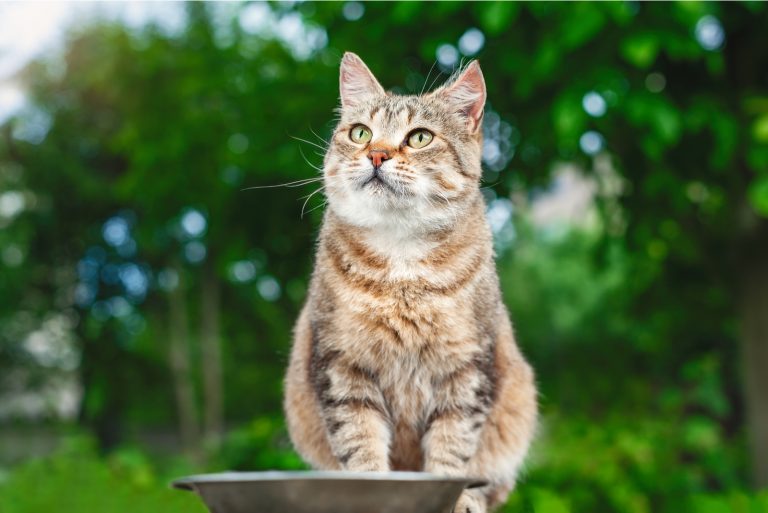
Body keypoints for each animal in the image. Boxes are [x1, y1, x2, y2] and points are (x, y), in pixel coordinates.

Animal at [284, 52, 540, 512]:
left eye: (419, 137)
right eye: (360, 133)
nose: (377, 155)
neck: (401, 259)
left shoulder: (467, 369)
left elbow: (451, 451)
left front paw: (454, 497)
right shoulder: (341, 366)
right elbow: (360, 445)